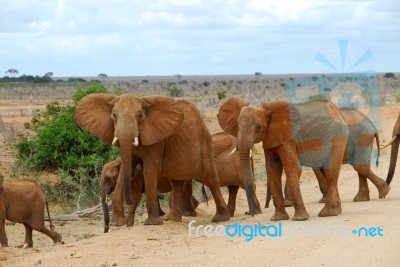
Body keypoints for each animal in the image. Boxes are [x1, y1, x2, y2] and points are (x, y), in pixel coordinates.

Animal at [75, 94, 230, 226]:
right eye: (114, 115)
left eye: (140, 116)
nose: (127, 200)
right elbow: (127, 170)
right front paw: (118, 224)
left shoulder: (156, 140)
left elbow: (149, 169)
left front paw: (151, 223)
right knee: (177, 182)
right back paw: (172, 219)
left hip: (205, 145)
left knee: (210, 179)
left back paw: (220, 218)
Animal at [217, 97, 348, 221]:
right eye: (237, 125)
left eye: (259, 127)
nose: (249, 213)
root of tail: (337, 110)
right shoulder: (270, 139)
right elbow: (272, 171)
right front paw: (278, 218)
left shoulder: (288, 139)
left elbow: (293, 169)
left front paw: (300, 218)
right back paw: (336, 211)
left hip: (337, 136)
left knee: (331, 170)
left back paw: (328, 213)